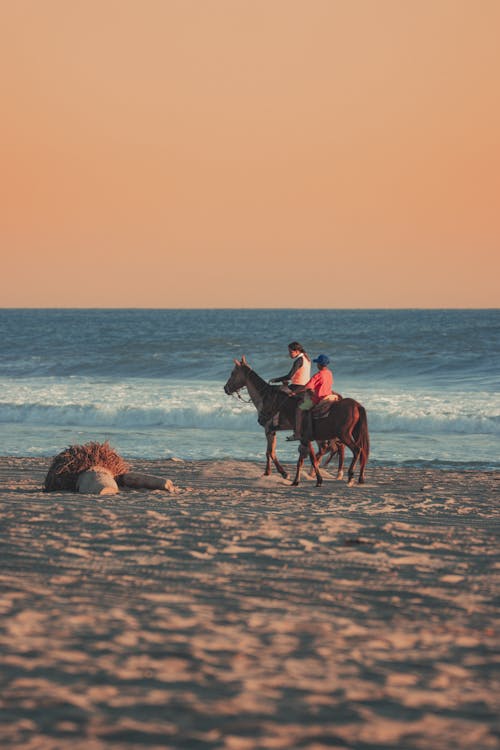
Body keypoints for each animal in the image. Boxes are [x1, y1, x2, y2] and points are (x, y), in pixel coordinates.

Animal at [223, 360, 360, 488]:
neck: (264, 397)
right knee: (333, 448)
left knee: (333, 448)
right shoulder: (272, 430)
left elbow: (270, 452)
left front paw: (284, 473)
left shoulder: (268, 429)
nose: (225, 388)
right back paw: (327, 472)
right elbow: (268, 451)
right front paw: (267, 472)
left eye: (233, 373)